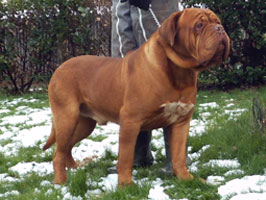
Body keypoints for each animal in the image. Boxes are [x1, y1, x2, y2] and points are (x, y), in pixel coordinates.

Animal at [42, 8, 230, 186]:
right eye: (199, 25)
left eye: (218, 22)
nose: (220, 29)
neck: (179, 73)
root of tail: (59, 68)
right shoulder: (130, 120)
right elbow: (126, 157)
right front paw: (126, 185)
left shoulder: (181, 121)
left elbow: (178, 155)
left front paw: (186, 179)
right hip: (67, 119)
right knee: (58, 154)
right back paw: (61, 182)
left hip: (84, 124)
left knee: (64, 149)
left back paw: (73, 168)